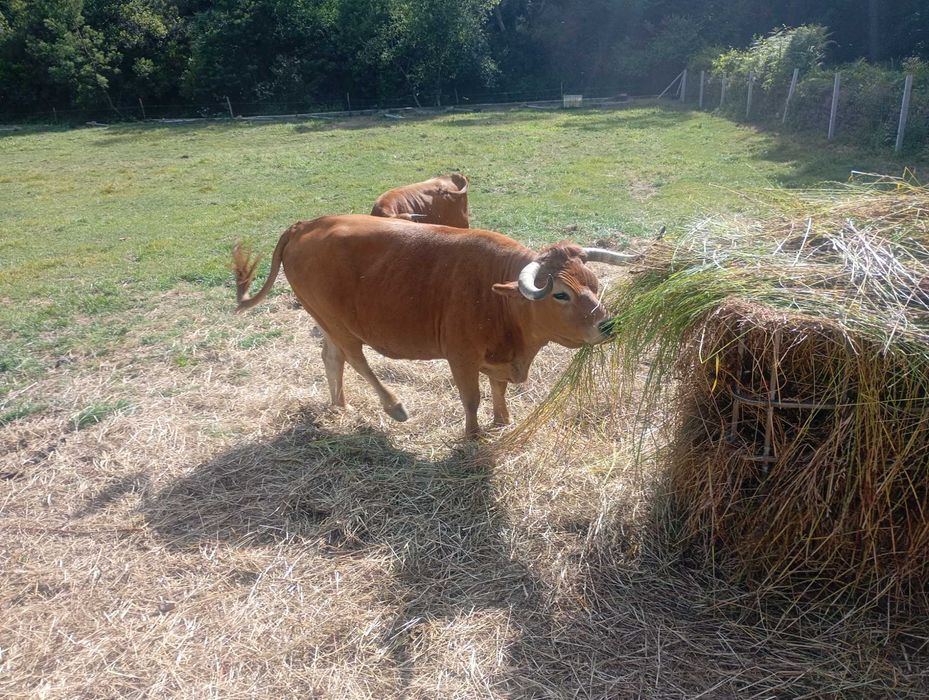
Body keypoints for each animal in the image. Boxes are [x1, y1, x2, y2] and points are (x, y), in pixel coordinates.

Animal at [233, 215, 632, 437]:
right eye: (561, 294)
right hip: (337, 323)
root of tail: (307, 225)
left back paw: (340, 408)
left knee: (333, 358)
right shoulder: (461, 356)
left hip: (329, 321)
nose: (609, 325)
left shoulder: (498, 358)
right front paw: (473, 434)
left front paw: (502, 420)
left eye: (594, 282)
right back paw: (394, 406)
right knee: (355, 359)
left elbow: (498, 388)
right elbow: (471, 398)